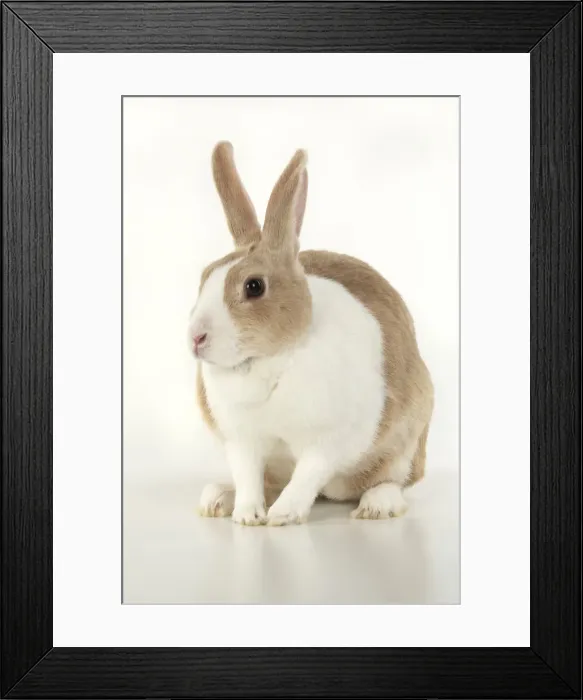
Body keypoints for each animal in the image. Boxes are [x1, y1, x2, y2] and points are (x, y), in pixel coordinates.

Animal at [190, 142, 434, 526]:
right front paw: (247, 515)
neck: (268, 362)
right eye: (203, 278)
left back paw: (376, 505)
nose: (196, 337)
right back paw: (217, 498)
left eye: (254, 286)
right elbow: (247, 476)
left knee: (392, 480)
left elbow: (308, 474)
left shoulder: (329, 441)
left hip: (407, 443)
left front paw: (283, 515)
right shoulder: (241, 441)